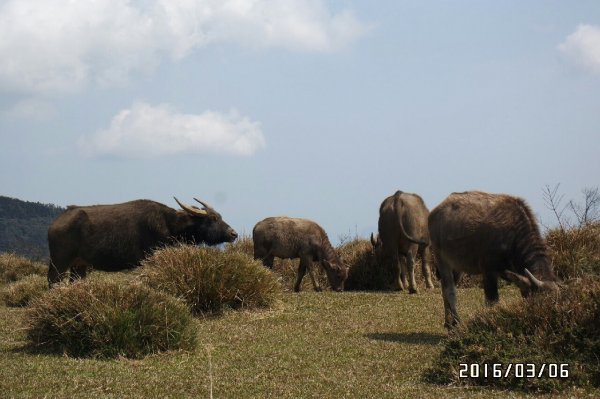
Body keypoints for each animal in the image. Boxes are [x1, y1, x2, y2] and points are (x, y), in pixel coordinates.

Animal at [47, 198, 239, 288]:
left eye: (220, 216)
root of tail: (56, 223)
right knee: (52, 282)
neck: (170, 224)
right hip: (59, 263)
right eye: (213, 218)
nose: (234, 233)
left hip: (79, 266)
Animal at [428, 192, 560, 330]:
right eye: (539, 303)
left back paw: (448, 322)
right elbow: (492, 301)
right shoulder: (488, 272)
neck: (512, 237)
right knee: (449, 290)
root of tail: (435, 213)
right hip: (441, 259)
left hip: (458, 266)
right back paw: (454, 323)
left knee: (446, 289)